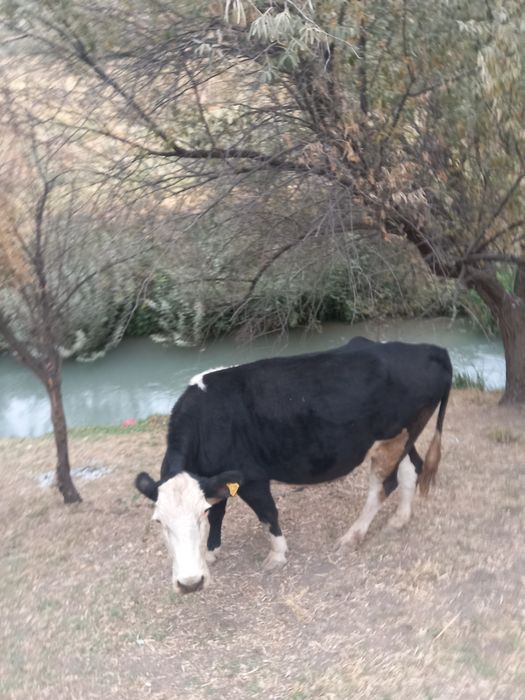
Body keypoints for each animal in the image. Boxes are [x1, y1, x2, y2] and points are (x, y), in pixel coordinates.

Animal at [135, 337, 452, 593]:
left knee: (384, 484)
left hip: (392, 441)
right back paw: (400, 519)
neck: (208, 420)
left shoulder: (251, 477)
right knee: (411, 469)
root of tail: (430, 348)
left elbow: (267, 514)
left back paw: (352, 536)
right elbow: (219, 512)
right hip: (404, 435)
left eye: (197, 516)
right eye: (159, 522)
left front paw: (277, 555)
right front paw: (213, 551)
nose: (190, 583)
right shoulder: (214, 477)